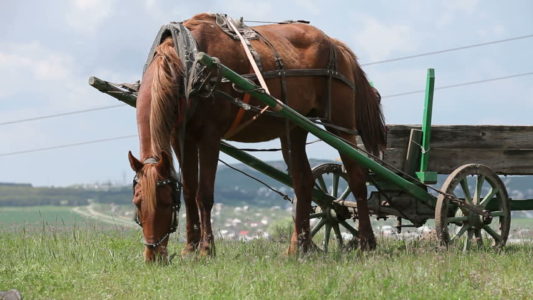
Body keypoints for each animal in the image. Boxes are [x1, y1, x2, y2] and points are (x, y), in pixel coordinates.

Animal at [127, 12, 384, 262]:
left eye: (165, 202)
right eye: (137, 203)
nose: (153, 256)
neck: (186, 63)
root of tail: (335, 44)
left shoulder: (210, 136)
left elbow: (204, 194)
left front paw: (206, 249)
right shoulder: (181, 138)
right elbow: (190, 191)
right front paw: (190, 248)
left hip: (340, 126)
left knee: (357, 177)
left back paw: (366, 242)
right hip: (294, 128)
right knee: (304, 181)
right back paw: (299, 246)